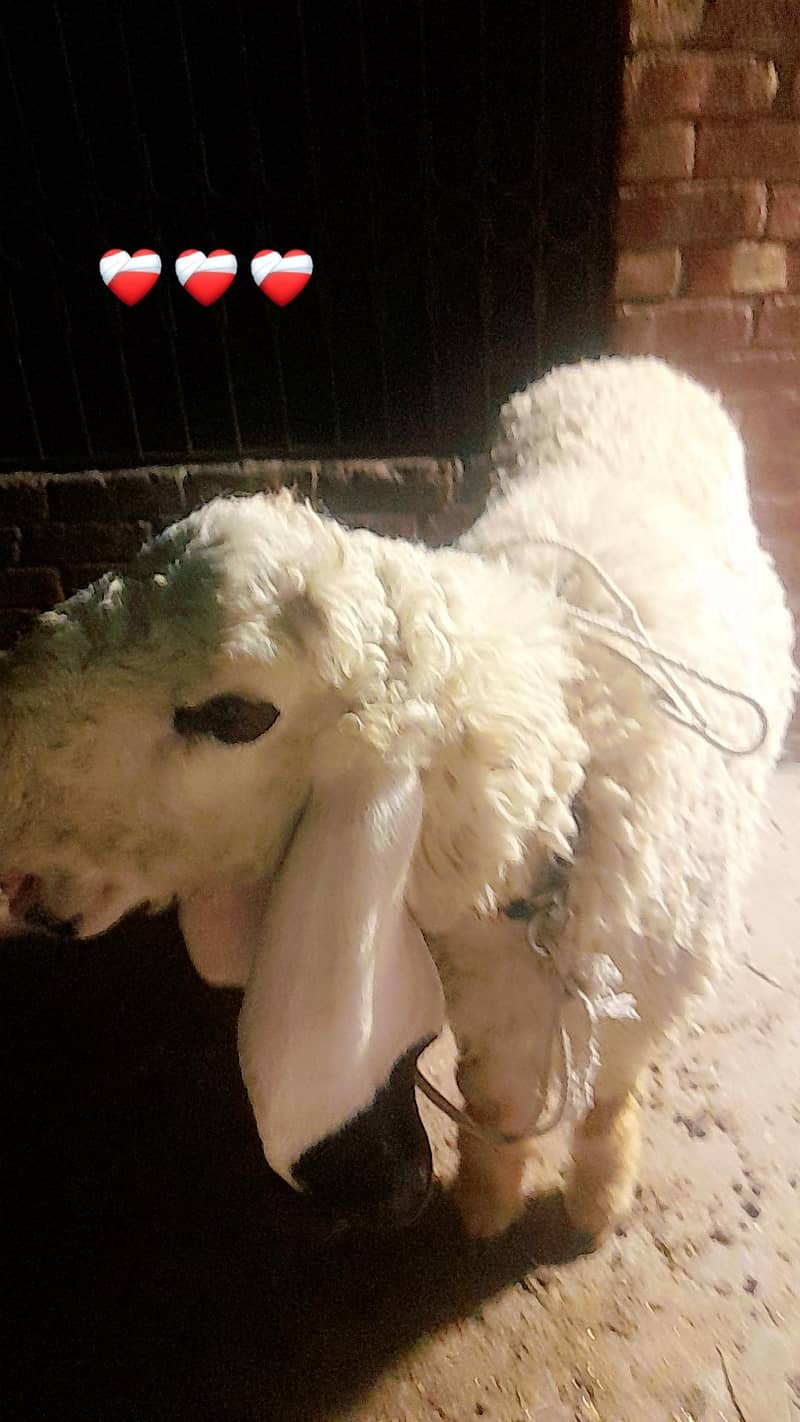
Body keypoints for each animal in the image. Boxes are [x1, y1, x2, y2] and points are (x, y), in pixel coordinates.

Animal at [0, 355, 795, 1242]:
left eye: (233, 715)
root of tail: (621, 363)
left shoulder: (638, 997)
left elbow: (604, 1098)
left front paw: (597, 1199)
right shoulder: (486, 992)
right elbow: (499, 1099)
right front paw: (487, 1201)